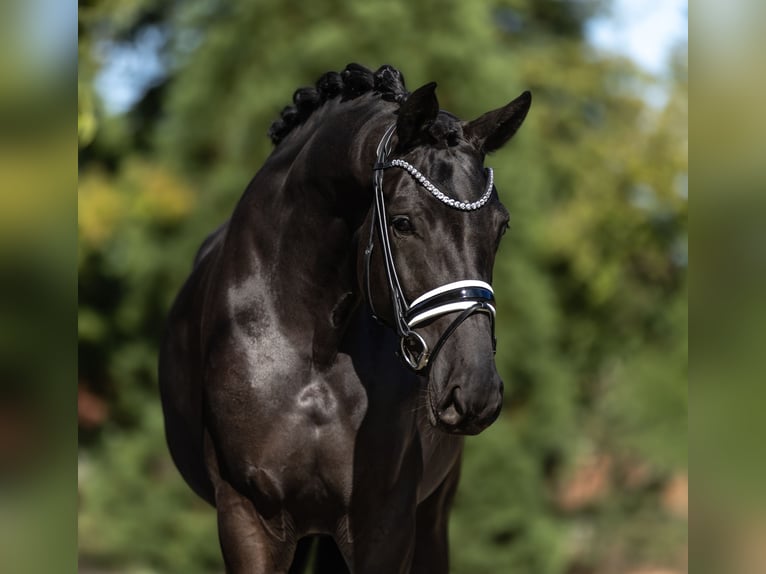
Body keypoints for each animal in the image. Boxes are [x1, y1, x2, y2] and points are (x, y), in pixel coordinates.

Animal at [159, 63, 531, 573]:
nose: (475, 390)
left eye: (501, 226)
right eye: (402, 222)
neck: (312, 345)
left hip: (428, 518)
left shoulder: (385, 523)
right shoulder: (246, 517)